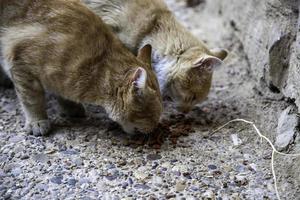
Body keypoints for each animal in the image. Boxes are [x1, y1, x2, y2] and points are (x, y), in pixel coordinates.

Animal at [0, 0, 163, 136]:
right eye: (151, 115)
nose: (155, 128)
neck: (97, 62)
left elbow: (60, 94)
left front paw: (70, 106)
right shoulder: (22, 66)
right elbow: (31, 100)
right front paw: (37, 121)